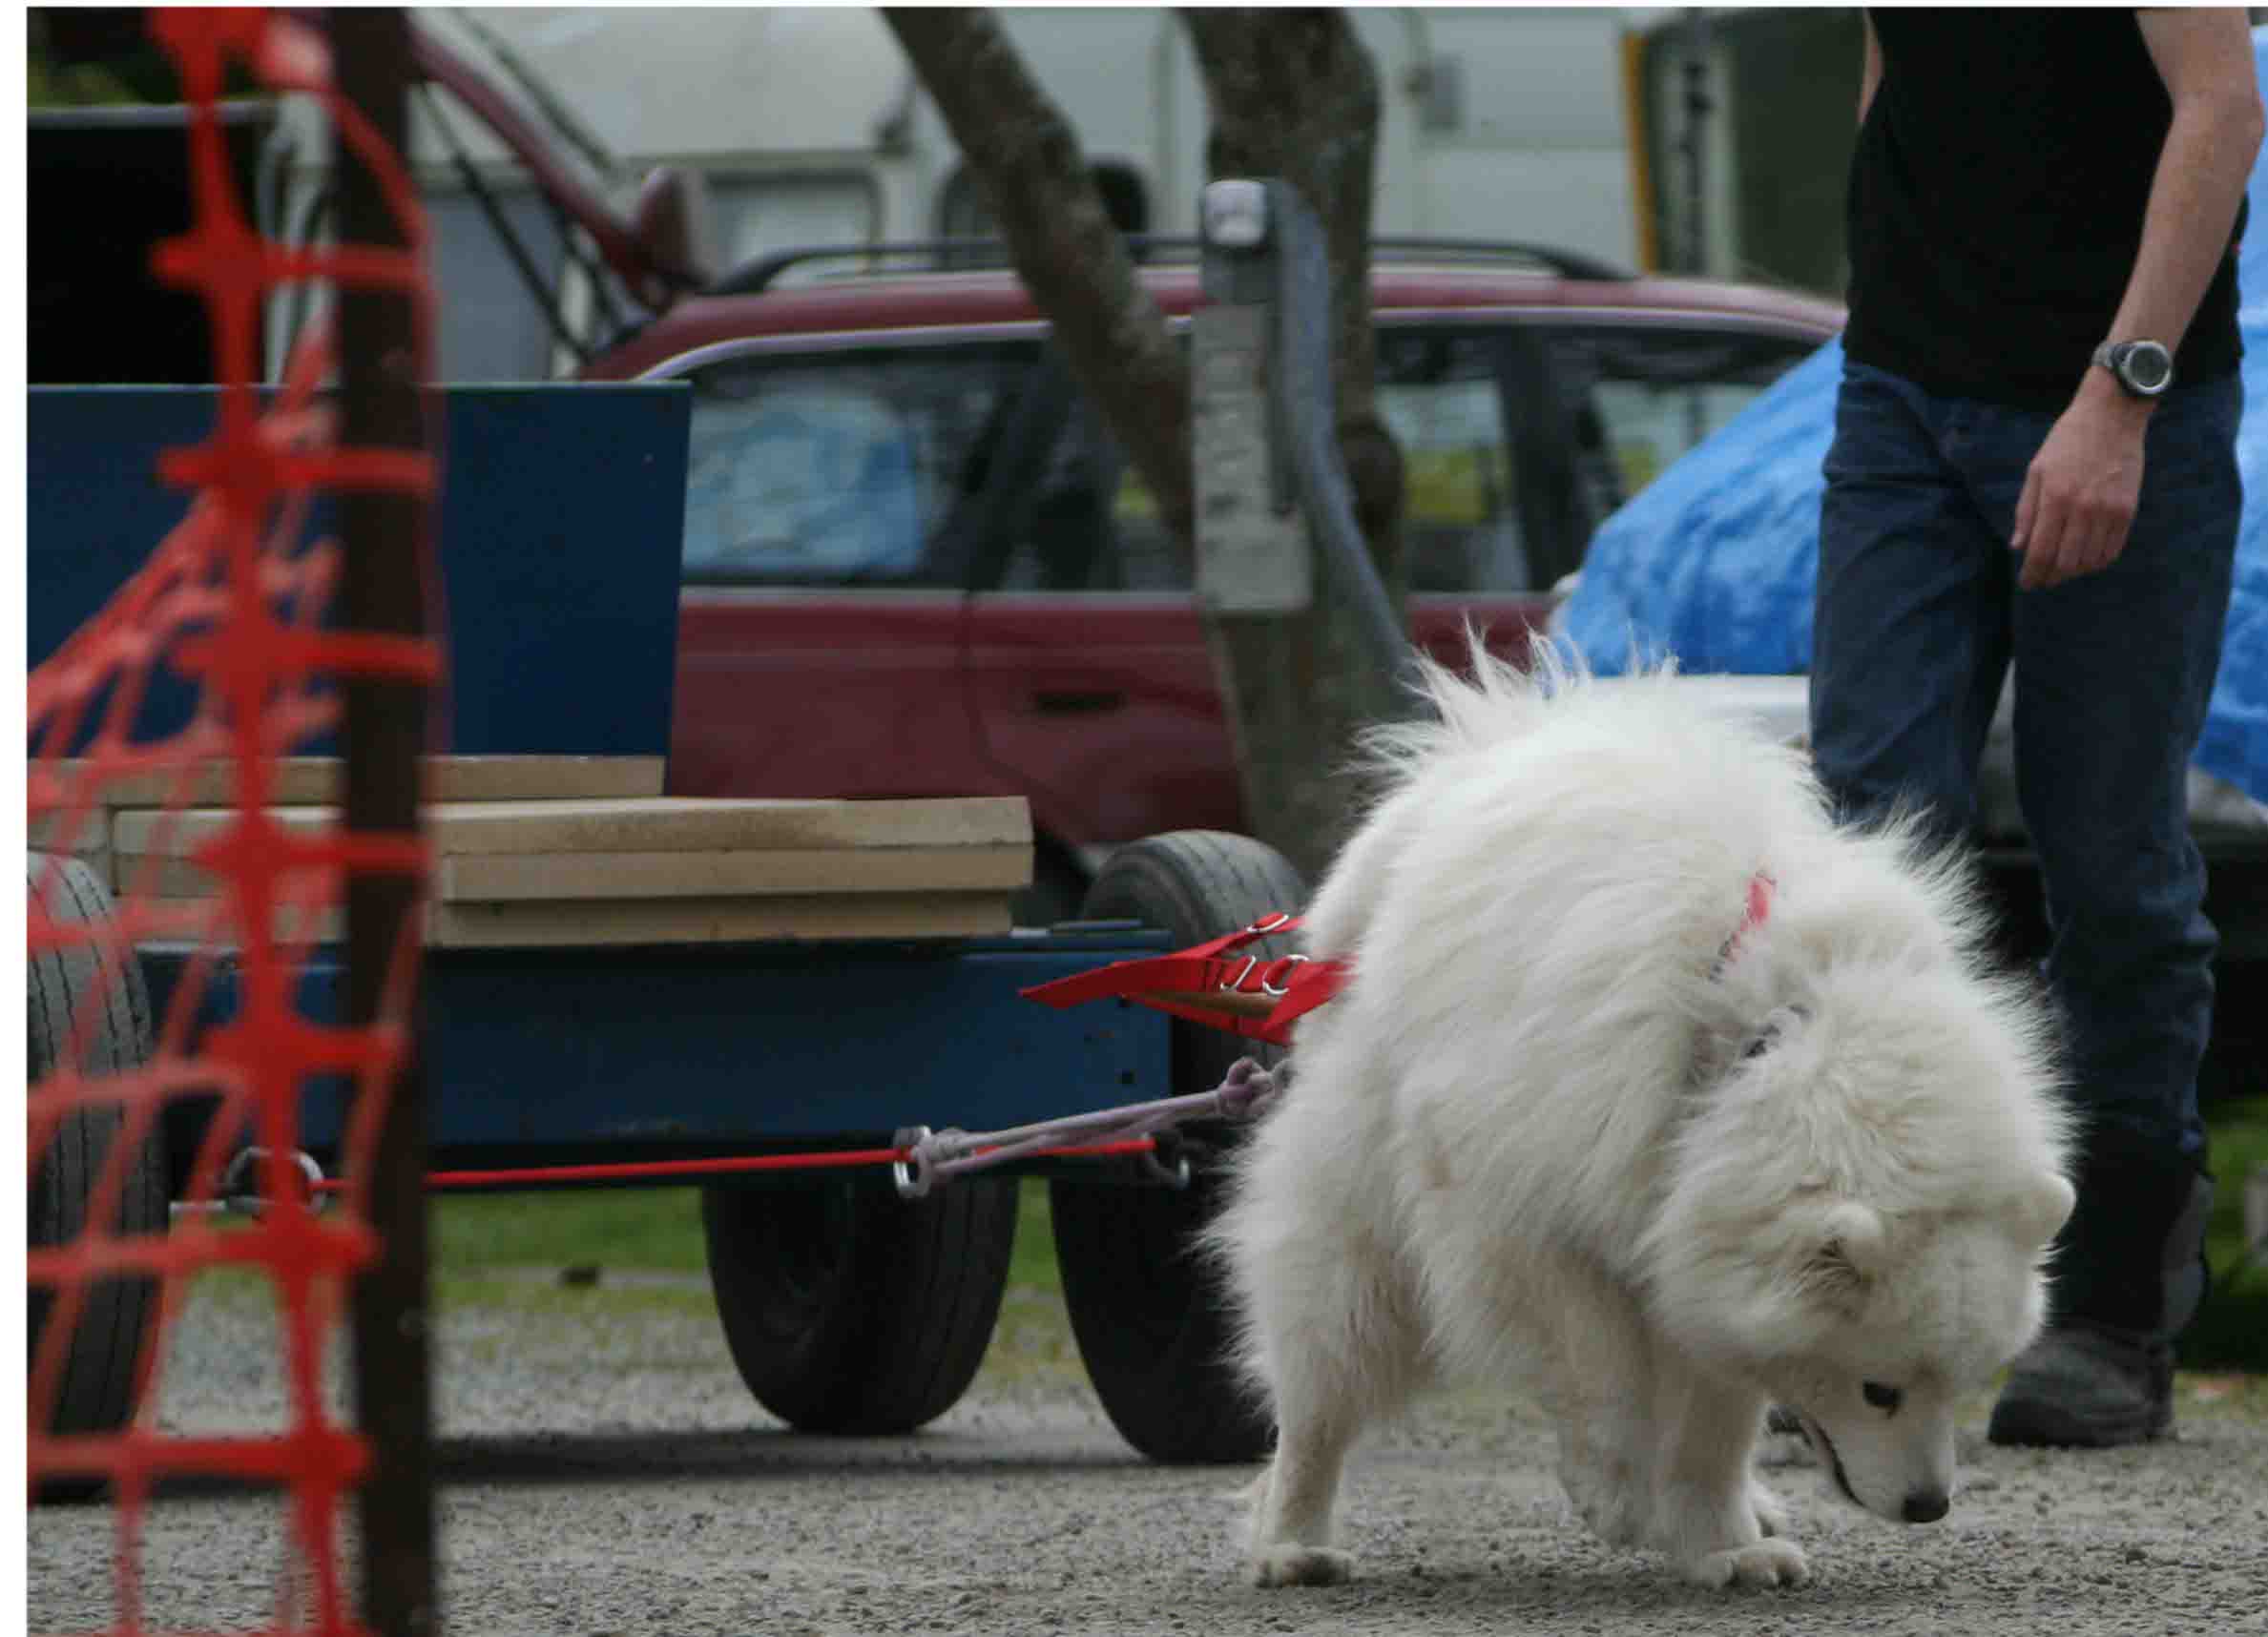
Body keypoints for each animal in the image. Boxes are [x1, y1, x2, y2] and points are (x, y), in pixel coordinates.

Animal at [1224, 643, 2077, 1586]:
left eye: (1966, 1382)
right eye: (1878, 1389)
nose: (1929, 1507)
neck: (1759, 1022)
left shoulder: (1700, 1237)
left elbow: (1715, 1417)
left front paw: (1725, 1543)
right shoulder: (1520, 1209)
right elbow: (1597, 1371)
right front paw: (1620, 1494)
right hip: (1359, 1226)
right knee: (1321, 1390)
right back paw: (1292, 1542)